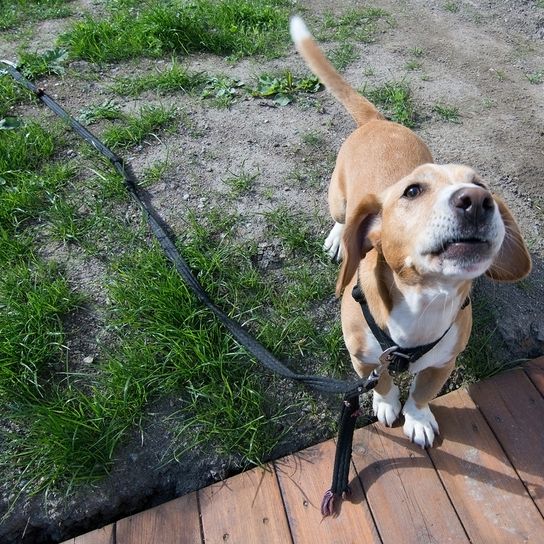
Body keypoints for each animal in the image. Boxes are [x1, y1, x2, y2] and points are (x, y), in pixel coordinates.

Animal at [292, 18, 528, 450]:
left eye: (480, 183)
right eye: (412, 191)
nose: (476, 201)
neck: (425, 301)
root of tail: (376, 121)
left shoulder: (444, 362)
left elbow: (422, 393)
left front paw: (417, 419)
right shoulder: (364, 358)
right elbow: (384, 382)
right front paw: (387, 404)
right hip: (338, 200)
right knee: (341, 217)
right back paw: (338, 238)